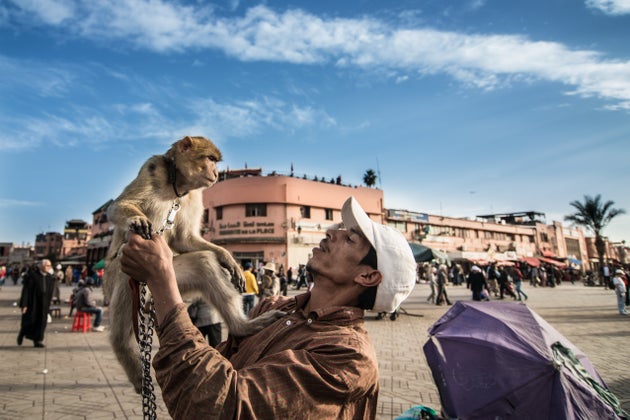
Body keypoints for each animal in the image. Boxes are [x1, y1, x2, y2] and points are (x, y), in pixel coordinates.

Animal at [104, 136, 286, 392]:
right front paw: (135, 218)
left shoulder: (193, 195)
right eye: (210, 159)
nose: (217, 173)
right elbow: (118, 207)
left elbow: (185, 240)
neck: (176, 185)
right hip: (115, 279)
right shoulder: (152, 167)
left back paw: (242, 327)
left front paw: (226, 257)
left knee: (203, 263)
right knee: (121, 313)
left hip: (169, 278)